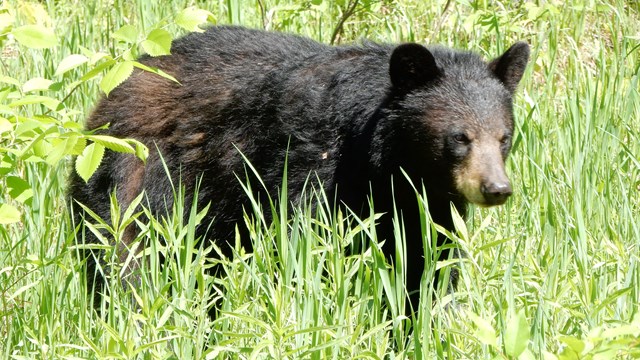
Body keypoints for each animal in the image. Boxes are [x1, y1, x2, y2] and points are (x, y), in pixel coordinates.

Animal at [70, 25, 528, 312]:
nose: (496, 188)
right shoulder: (310, 161)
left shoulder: (425, 204)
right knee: (124, 255)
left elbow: (426, 263)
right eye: (460, 137)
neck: (384, 162)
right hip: (134, 174)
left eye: (504, 137)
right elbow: (303, 244)